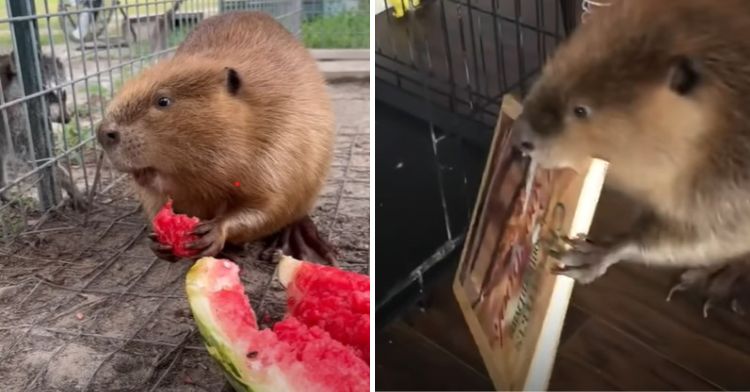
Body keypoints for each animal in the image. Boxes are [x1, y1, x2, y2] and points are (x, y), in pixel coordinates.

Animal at [96, 11, 334, 264]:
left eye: (163, 101)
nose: (103, 133)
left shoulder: (284, 143)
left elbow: (270, 205)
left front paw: (213, 232)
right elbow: (156, 202)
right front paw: (160, 243)